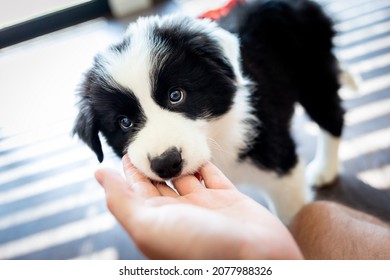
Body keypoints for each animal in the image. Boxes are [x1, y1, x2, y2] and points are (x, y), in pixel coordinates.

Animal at [74, 0, 344, 223]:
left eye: (176, 95)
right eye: (124, 122)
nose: (166, 163)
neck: (217, 136)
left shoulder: (278, 159)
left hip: (313, 71)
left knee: (332, 116)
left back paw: (324, 169)